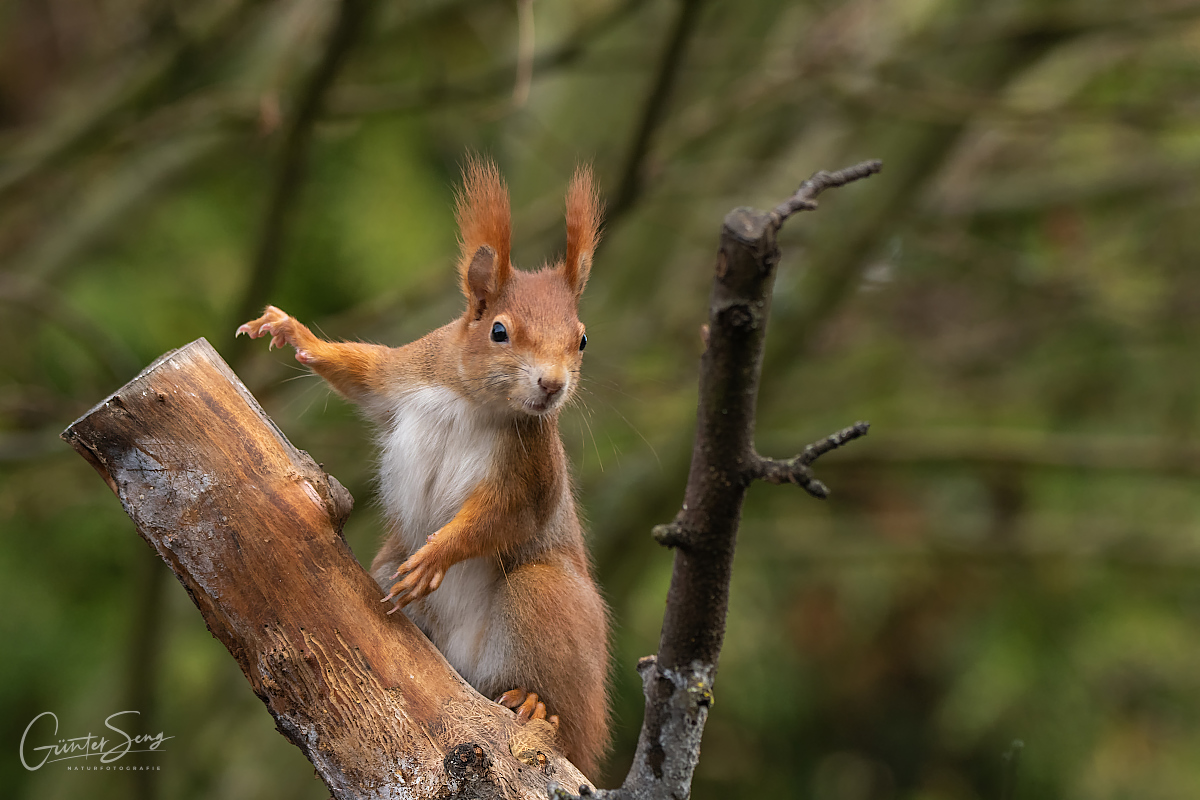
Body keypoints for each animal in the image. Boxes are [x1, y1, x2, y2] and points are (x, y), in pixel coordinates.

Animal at [236, 155, 609, 777]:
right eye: (498, 331)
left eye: (581, 340)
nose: (552, 386)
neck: (472, 400)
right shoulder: (405, 373)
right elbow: (360, 371)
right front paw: (292, 330)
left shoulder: (532, 472)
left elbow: (504, 519)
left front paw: (438, 554)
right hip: (391, 569)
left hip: (547, 601)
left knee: (559, 710)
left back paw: (535, 707)